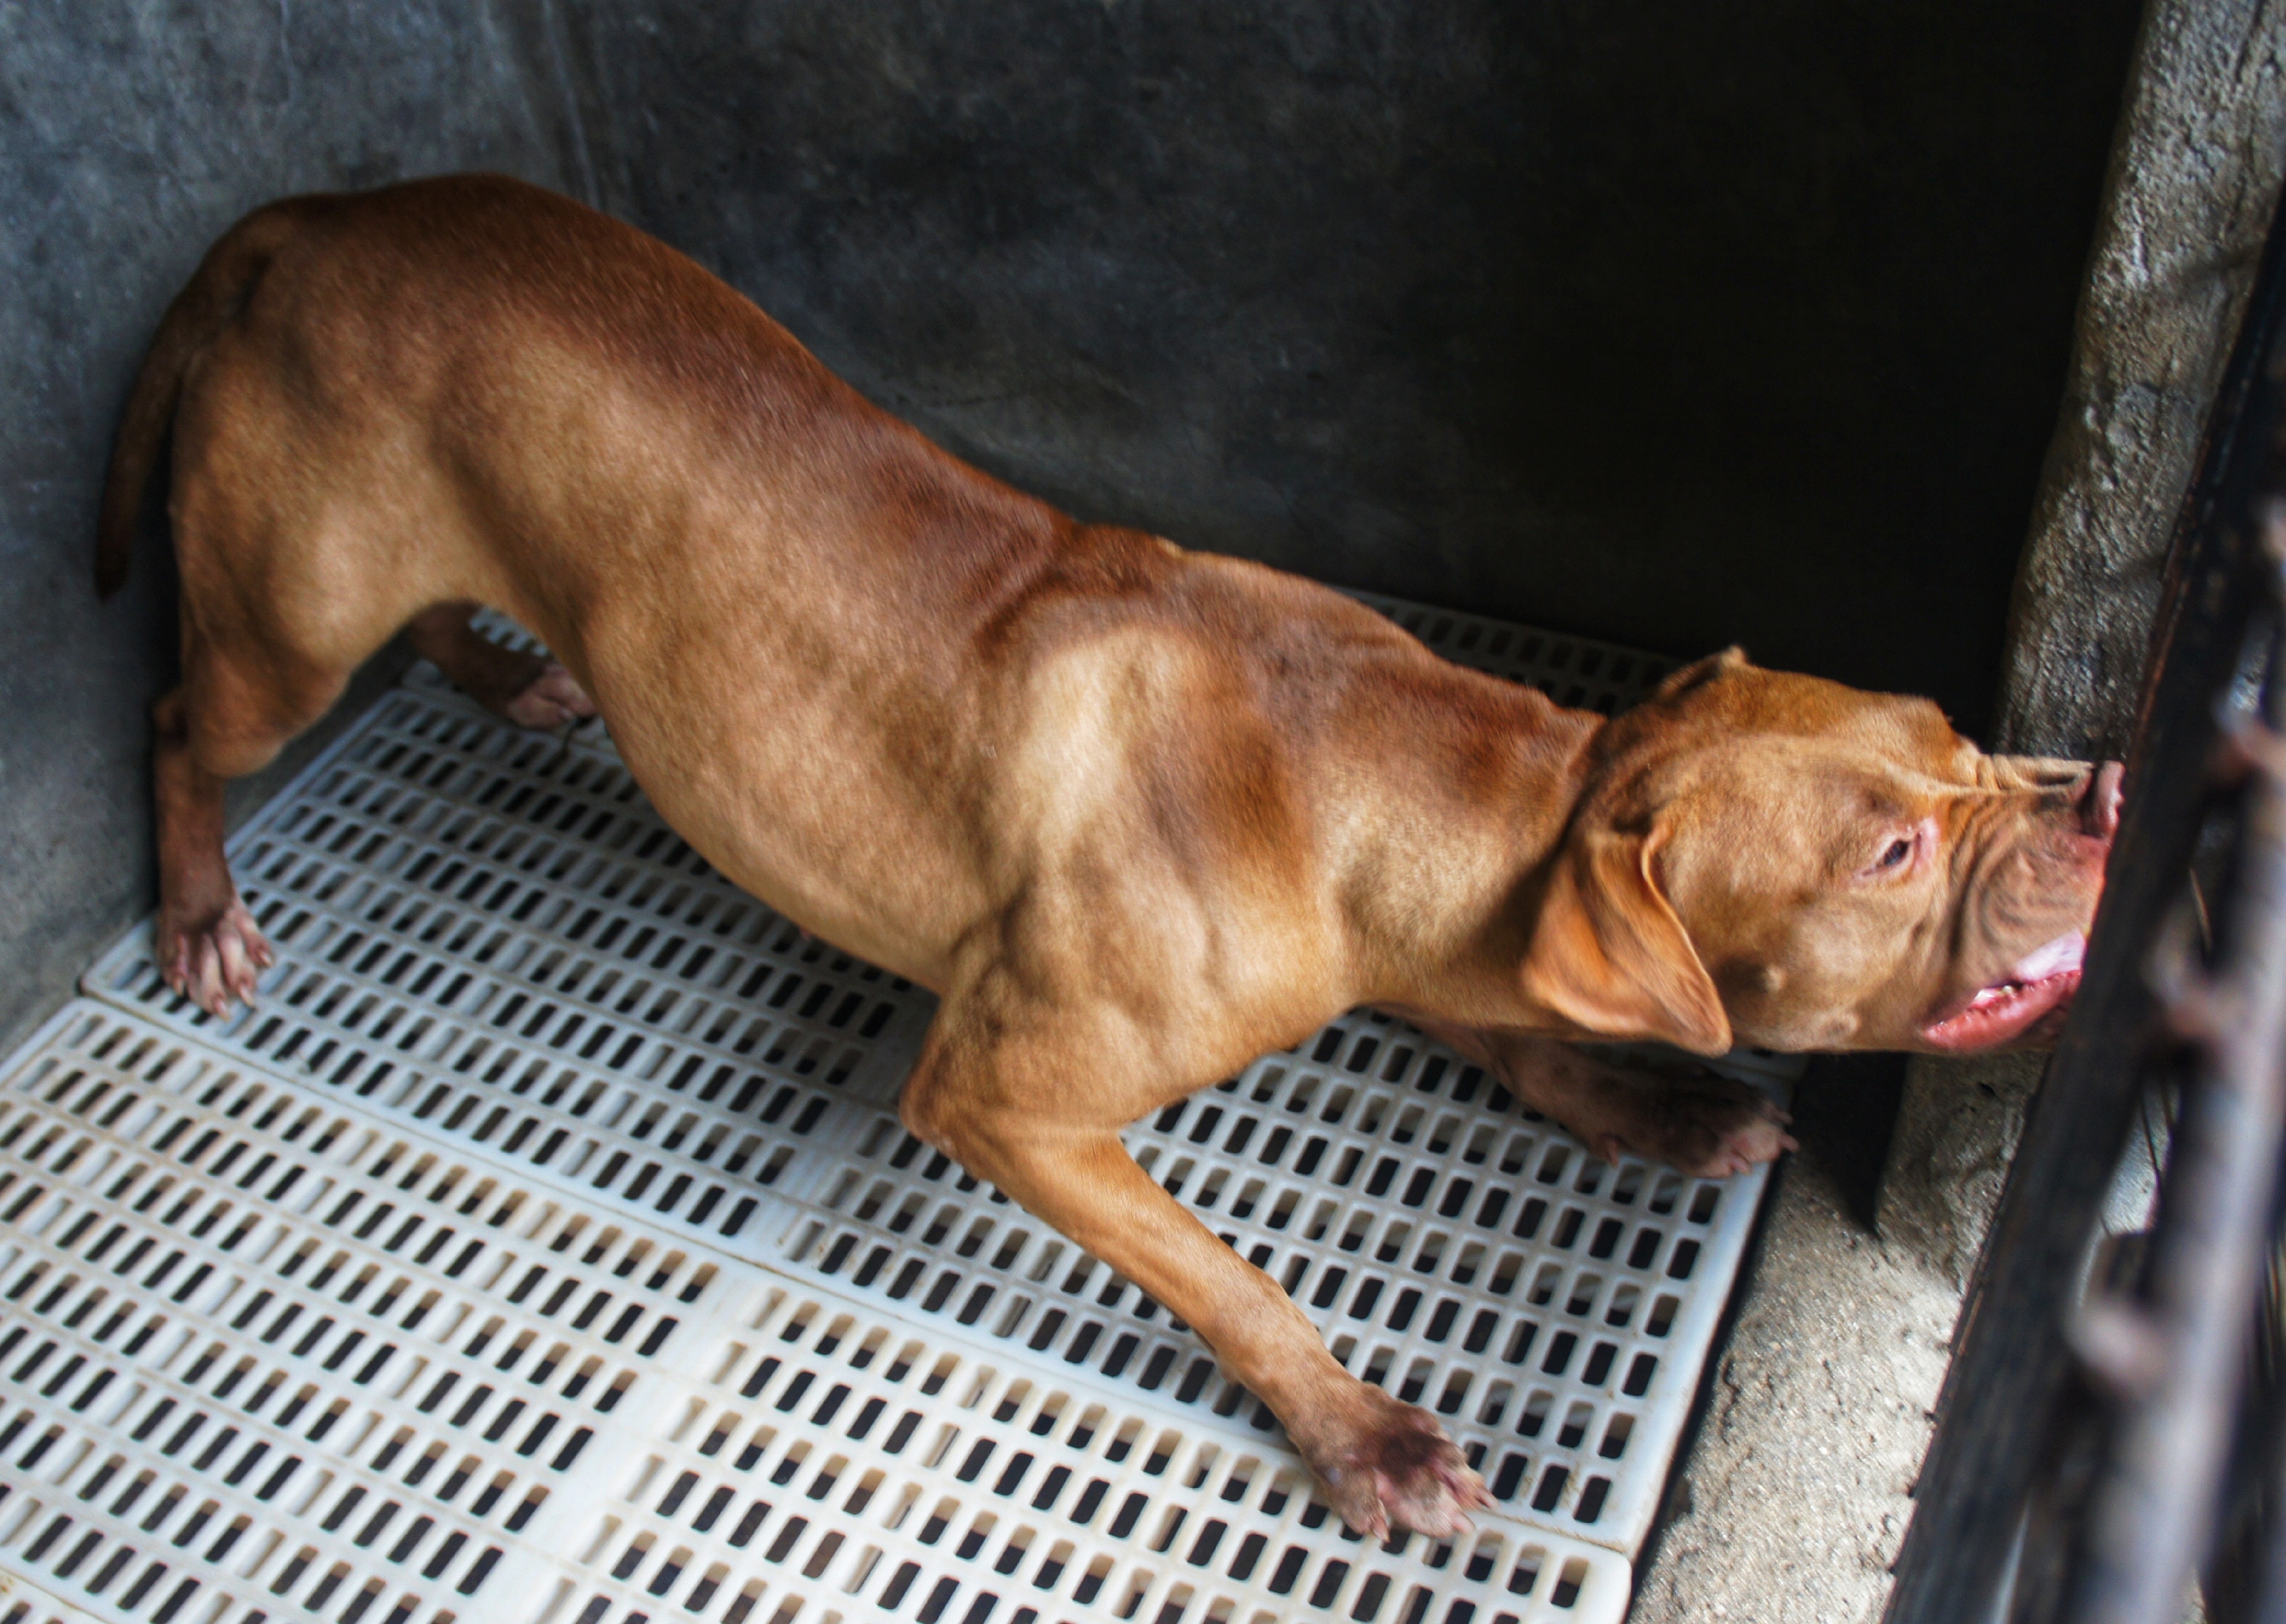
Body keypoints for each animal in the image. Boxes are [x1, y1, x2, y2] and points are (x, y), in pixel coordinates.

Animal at [93, 175, 2121, 1537]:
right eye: (1885, 848)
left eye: (1953, 736)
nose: (2101, 795)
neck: (1454, 786)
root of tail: (320, 214)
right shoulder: (1007, 1095)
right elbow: (1217, 1270)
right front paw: (1359, 1428)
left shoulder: (1439, 943)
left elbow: (1526, 1034)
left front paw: (1661, 1104)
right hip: (285, 612)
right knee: (183, 718)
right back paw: (198, 907)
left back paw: (505, 671)